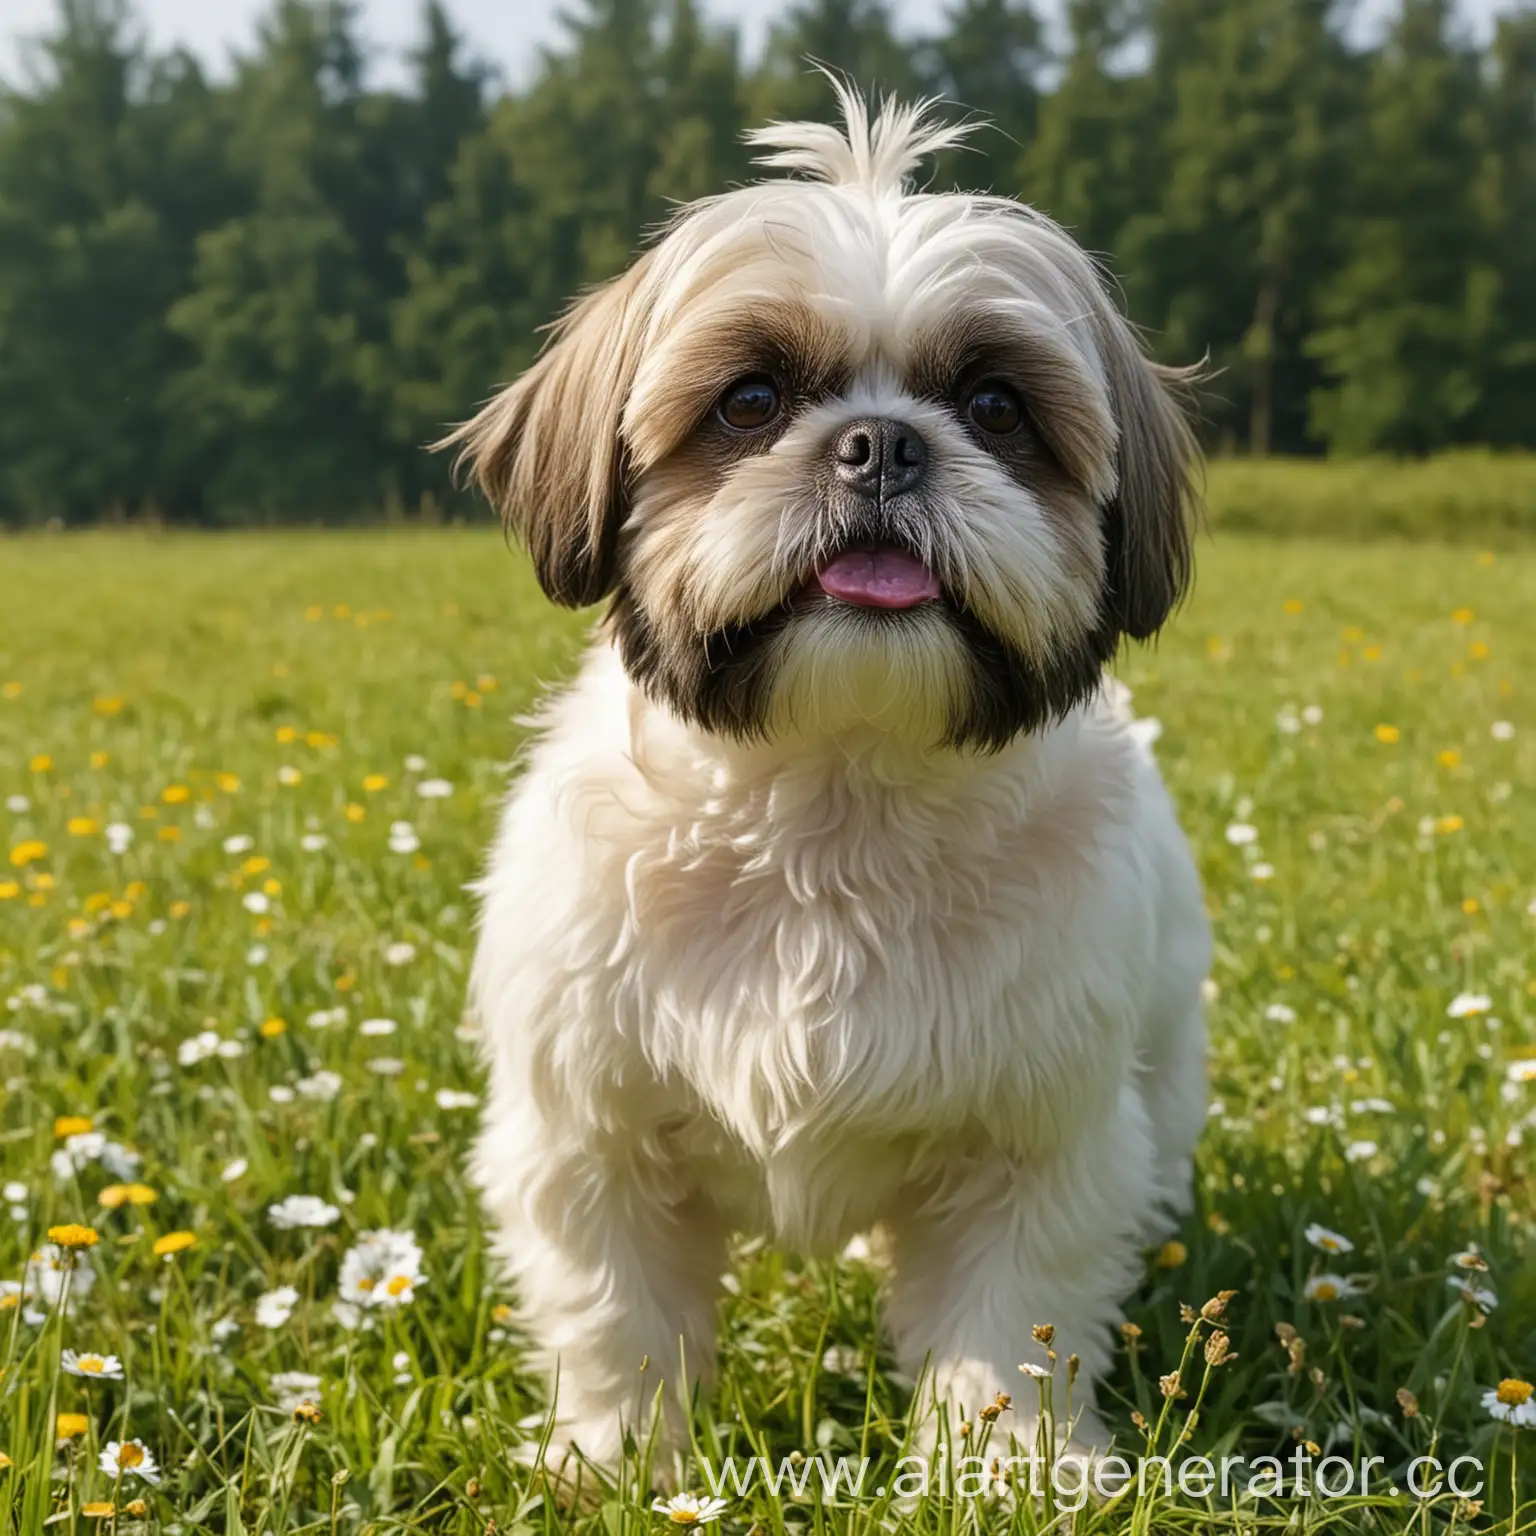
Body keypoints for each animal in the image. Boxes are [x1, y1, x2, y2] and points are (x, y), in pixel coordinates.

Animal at [445, 89, 1210, 1480]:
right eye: (750, 402)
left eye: (997, 408)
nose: (882, 445)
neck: (832, 802)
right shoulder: (590, 1133)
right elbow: (617, 1315)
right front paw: (620, 1462)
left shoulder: (1037, 1142)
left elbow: (1013, 1316)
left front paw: (1007, 1472)